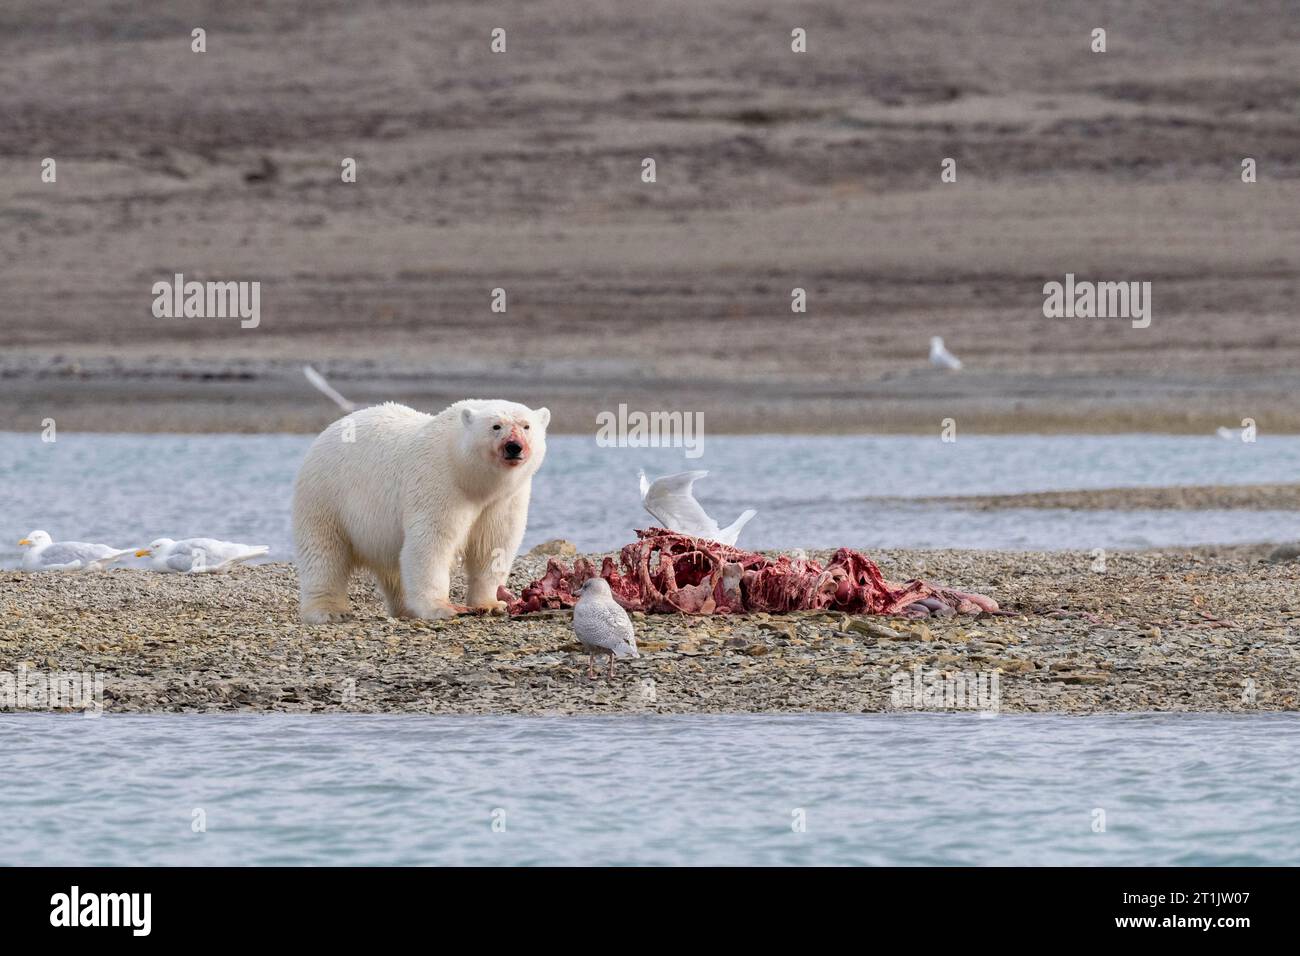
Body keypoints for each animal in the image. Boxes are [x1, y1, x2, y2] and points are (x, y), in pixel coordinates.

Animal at [293, 400, 548, 624]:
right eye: (496, 426)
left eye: (526, 426)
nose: (514, 446)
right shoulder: (439, 482)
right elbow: (432, 542)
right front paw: (442, 608)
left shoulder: (503, 500)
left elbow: (494, 544)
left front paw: (493, 604)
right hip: (326, 496)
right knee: (324, 554)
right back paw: (329, 611)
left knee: (394, 567)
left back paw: (404, 608)